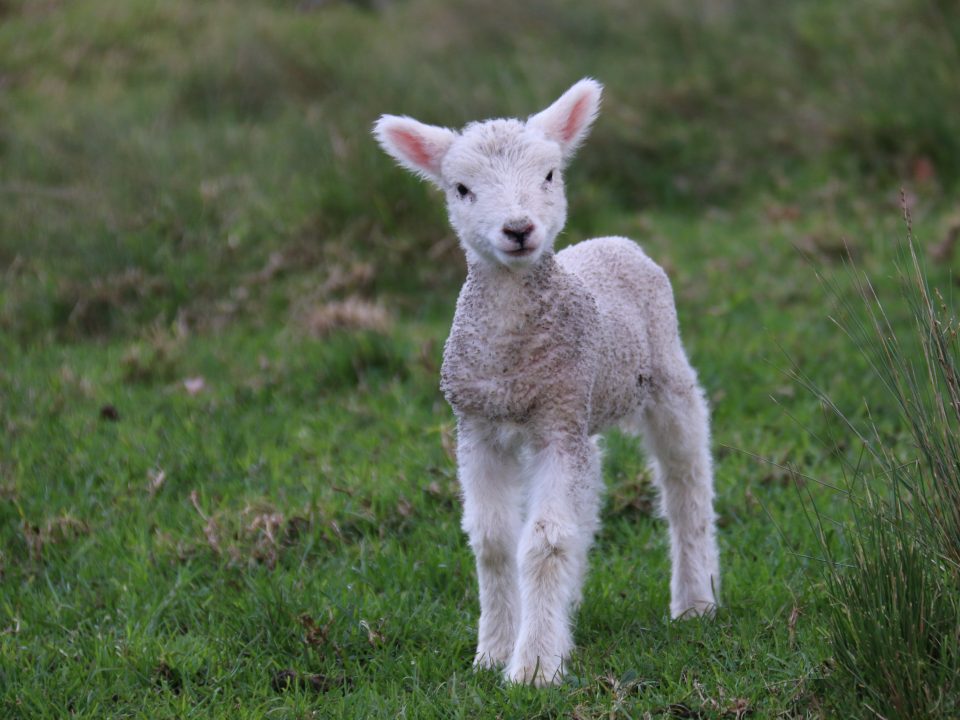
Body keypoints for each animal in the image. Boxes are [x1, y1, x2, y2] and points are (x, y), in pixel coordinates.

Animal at [376, 77, 720, 688]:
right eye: (461, 188)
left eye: (550, 175)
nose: (518, 229)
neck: (511, 359)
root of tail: (615, 241)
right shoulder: (480, 427)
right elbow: (494, 542)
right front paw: (493, 652)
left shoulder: (556, 422)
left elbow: (544, 542)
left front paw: (534, 666)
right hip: (585, 409)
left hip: (665, 374)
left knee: (687, 482)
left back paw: (694, 601)